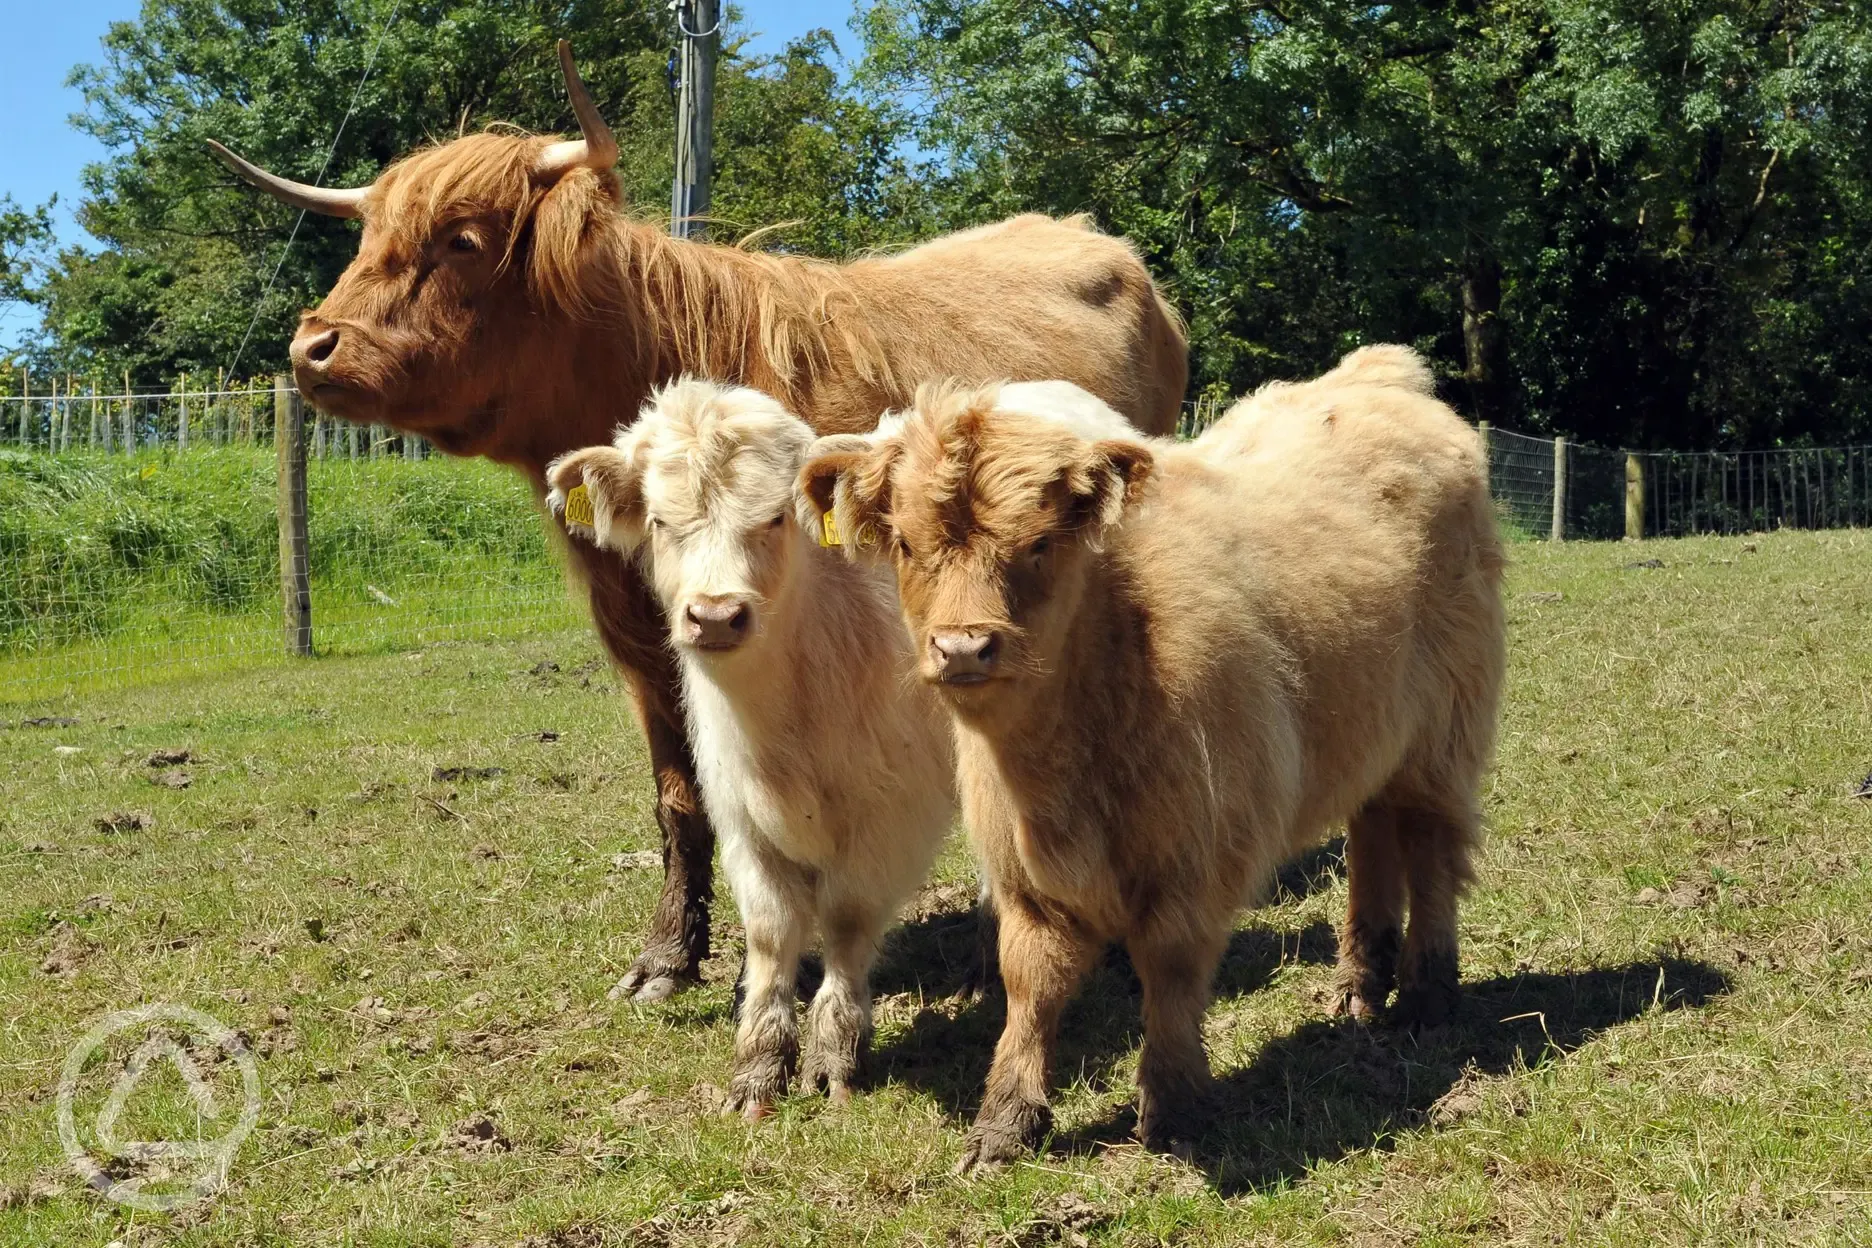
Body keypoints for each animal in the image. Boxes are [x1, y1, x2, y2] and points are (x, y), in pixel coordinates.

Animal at [804, 346, 1505, 1167]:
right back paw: (1360, 988)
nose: (964, 647)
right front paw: (1005, 1122)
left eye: (1039, 544)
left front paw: (1172, 1107)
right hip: (1371, 730)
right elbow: (1029, 983)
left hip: (1443, 730)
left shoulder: (1197, 851)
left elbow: (1169, 970)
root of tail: (1379, 375)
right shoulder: (1024, 874)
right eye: (908, 545)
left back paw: (1425, 997)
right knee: (1372, 838)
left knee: (1429, 847)